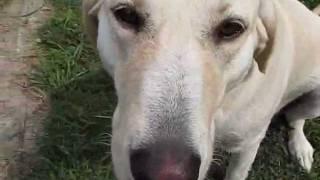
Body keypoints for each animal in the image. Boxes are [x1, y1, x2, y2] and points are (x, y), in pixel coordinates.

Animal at [83, 0, 320, 180]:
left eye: (231, 28)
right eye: (127, 14)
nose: (167, 173)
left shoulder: (248, 145)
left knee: (295, 119)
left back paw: (301, 147)